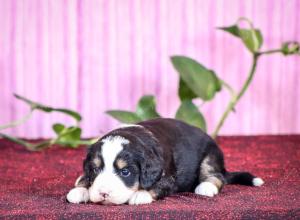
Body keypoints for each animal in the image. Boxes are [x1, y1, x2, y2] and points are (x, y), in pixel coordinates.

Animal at [67, 117, 264, 205]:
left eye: (125, 172)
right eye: (95, 170)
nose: (103, 193)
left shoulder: (169, 178)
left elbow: (156, 187)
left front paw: (140, 195)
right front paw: (80, 190)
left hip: (210, 156)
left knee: (217, 176)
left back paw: (206, 187)